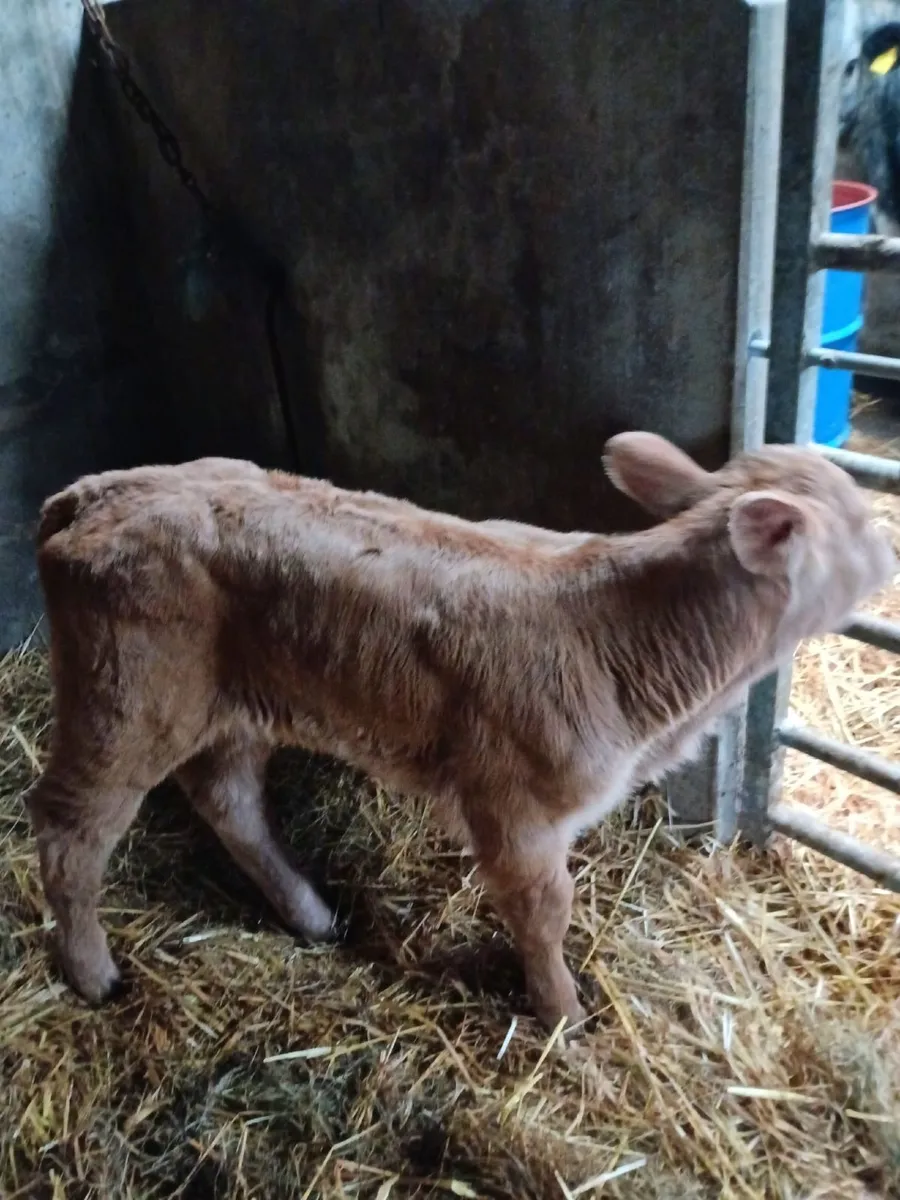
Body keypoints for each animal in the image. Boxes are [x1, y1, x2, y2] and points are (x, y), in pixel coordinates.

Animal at [23, 434, 896, 1029]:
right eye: (857, 525)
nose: (890, 549)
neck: (619, 630)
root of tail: (92, 492)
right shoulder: (513, 806)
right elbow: (544, 913)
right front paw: (563, 1015)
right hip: (126, 698)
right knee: (71, 825)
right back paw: (92, 972)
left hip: (234, 701)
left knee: (228, 799)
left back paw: (311, 915)